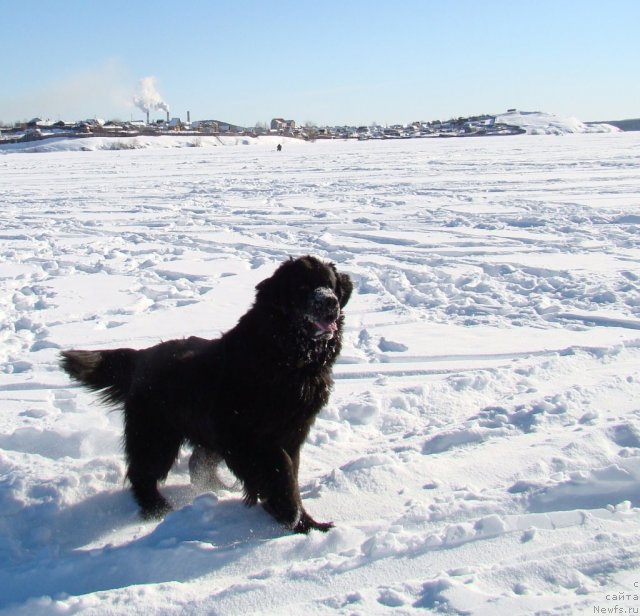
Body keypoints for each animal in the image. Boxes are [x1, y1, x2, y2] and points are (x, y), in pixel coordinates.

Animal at [60, 256, 352, 536]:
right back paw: (157, 508)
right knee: (143, 471)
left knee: (196, 462)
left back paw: (216, 489)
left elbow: (287, 470)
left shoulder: (291, 432)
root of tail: (142, 355)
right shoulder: (244, 434)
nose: (330, 301)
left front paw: (304, 522)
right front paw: (292, 517)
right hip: (157, 434)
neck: (287, 358)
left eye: (330, 284)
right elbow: (279, 470)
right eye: (302, 287)